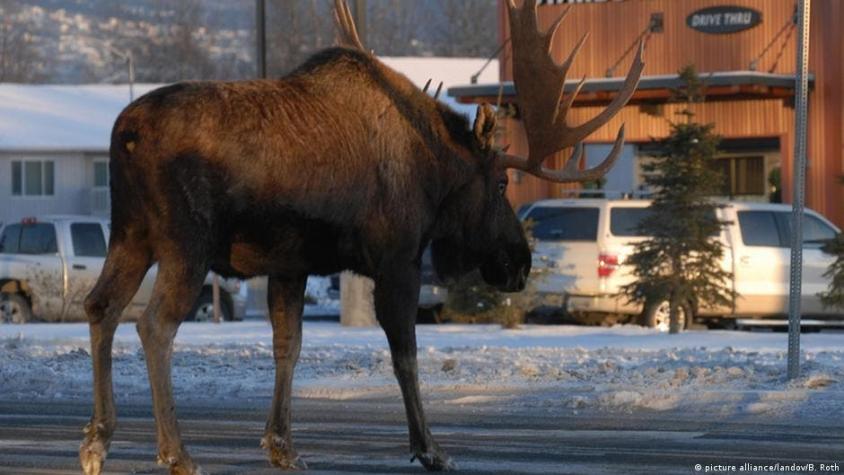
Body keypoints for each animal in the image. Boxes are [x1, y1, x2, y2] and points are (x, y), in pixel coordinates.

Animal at [79, 1, 644, 474]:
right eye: (501, 182)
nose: (519, 263)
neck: (432, 172)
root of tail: (126, 134)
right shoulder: (397, 259)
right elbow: (405, 354)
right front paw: (430, 448)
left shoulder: (290, 264)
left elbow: (289, 346)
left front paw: (283, 446)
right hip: (185, 243)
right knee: (154, 324)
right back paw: (176, 452)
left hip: (129, 234)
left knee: (100, 306)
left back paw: (97, 439)